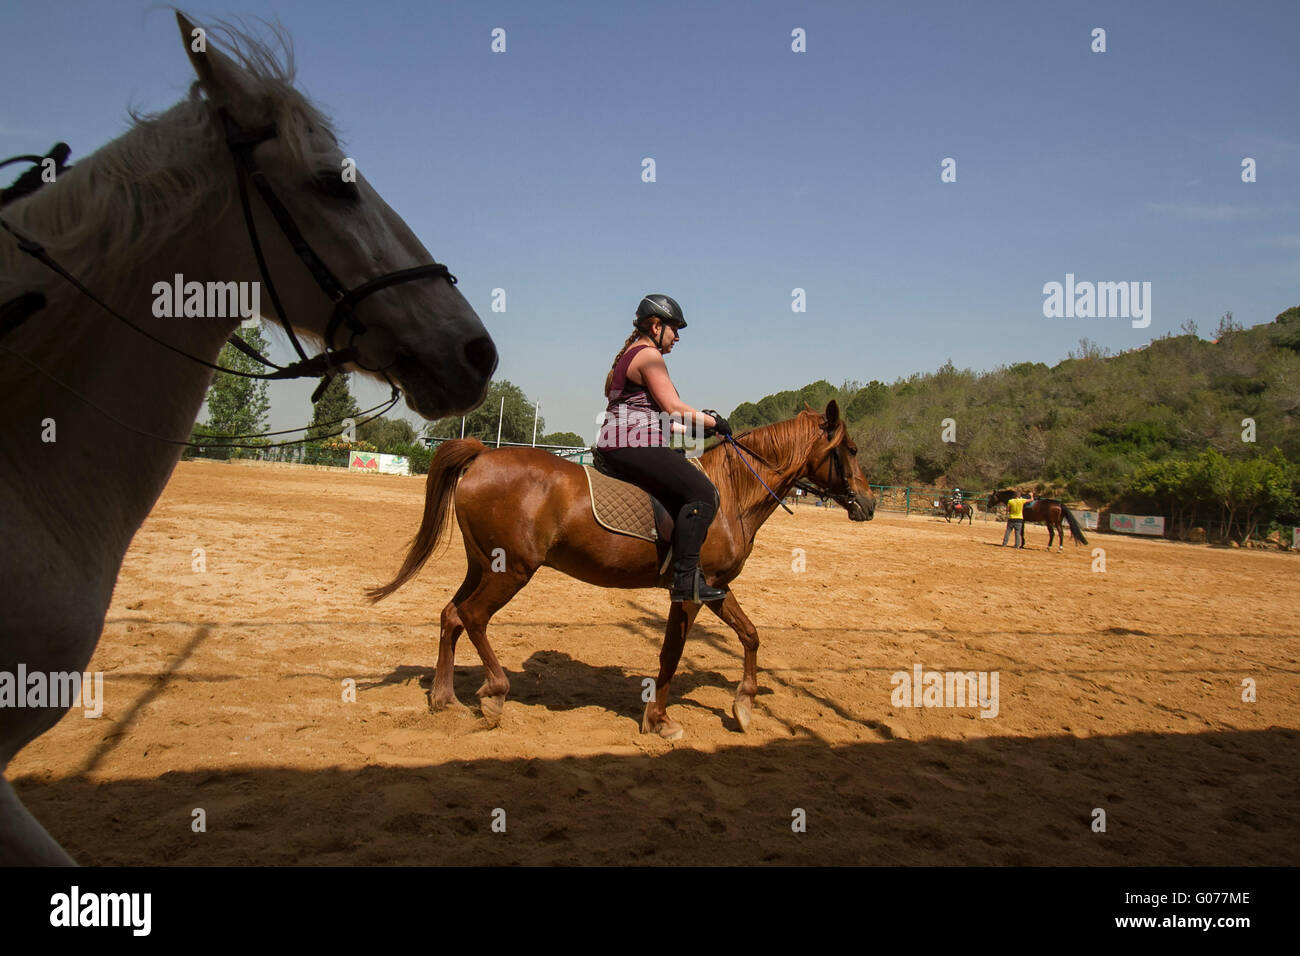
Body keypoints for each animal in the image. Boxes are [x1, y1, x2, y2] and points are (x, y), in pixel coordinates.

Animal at [368, 400, 876, 741]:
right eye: (850, 448)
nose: (869, 504)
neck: (731, 492)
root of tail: (483, 454)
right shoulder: (689, 593)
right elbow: (671, 654)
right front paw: (660, 720)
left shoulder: (715, 587)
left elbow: (750, 636)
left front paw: (744, 705)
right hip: (510, 571)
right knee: (472, 617)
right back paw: (493, 693)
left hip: (482, 566)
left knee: (450, 616)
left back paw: (445, 698)